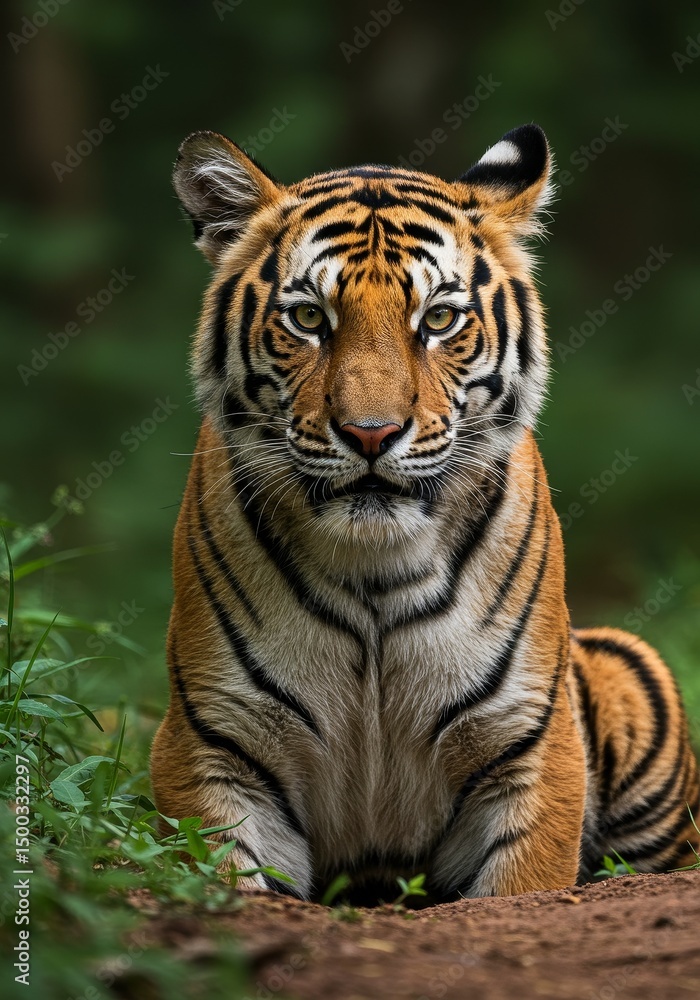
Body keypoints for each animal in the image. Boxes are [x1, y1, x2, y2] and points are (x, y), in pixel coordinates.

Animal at [150, 123, 700, 902]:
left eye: (438, 318)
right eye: (308, 317)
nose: (371, 433)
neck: (374, 569)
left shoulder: (529, 745)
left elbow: (521, 884)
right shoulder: (214, 744)